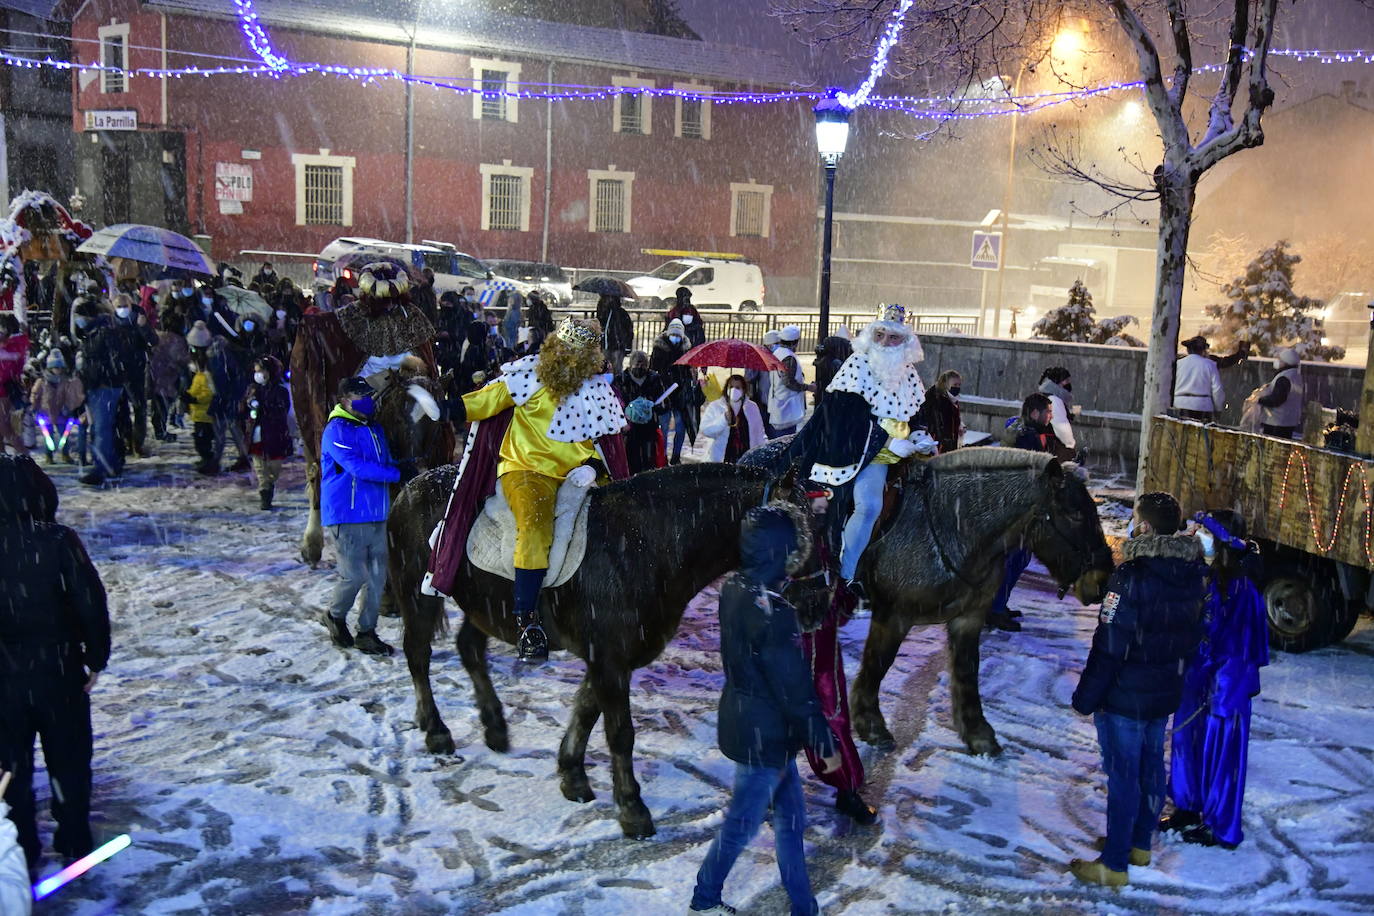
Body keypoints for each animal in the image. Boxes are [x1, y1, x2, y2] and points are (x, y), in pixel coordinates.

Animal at [291, 311, 456, 563]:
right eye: (398, 418)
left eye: (437, 424)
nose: (416, 472)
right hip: (308, 428)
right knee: (315, 477)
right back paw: (311, 543)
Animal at [384, 466, 813, 840]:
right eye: (792, 535)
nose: (815, 603)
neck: (649, 544)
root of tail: (412, 485)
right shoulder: (609, 659)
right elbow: (619, 733)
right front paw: (632, 809)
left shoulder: (610, 657)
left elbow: (587, 710)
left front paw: (572, 773)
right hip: (419, 594)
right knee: (417, 655)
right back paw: (436, 729)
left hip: (486, 606)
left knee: (469, 649)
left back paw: (494, 726)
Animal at [840, 450, 1110, 758]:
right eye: (1075, 514)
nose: (1102, 581)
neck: (949, 527)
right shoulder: (892, 615)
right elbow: (877, 666)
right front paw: (871, 726)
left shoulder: (969, 617)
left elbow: (968, 673)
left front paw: (978, 734)